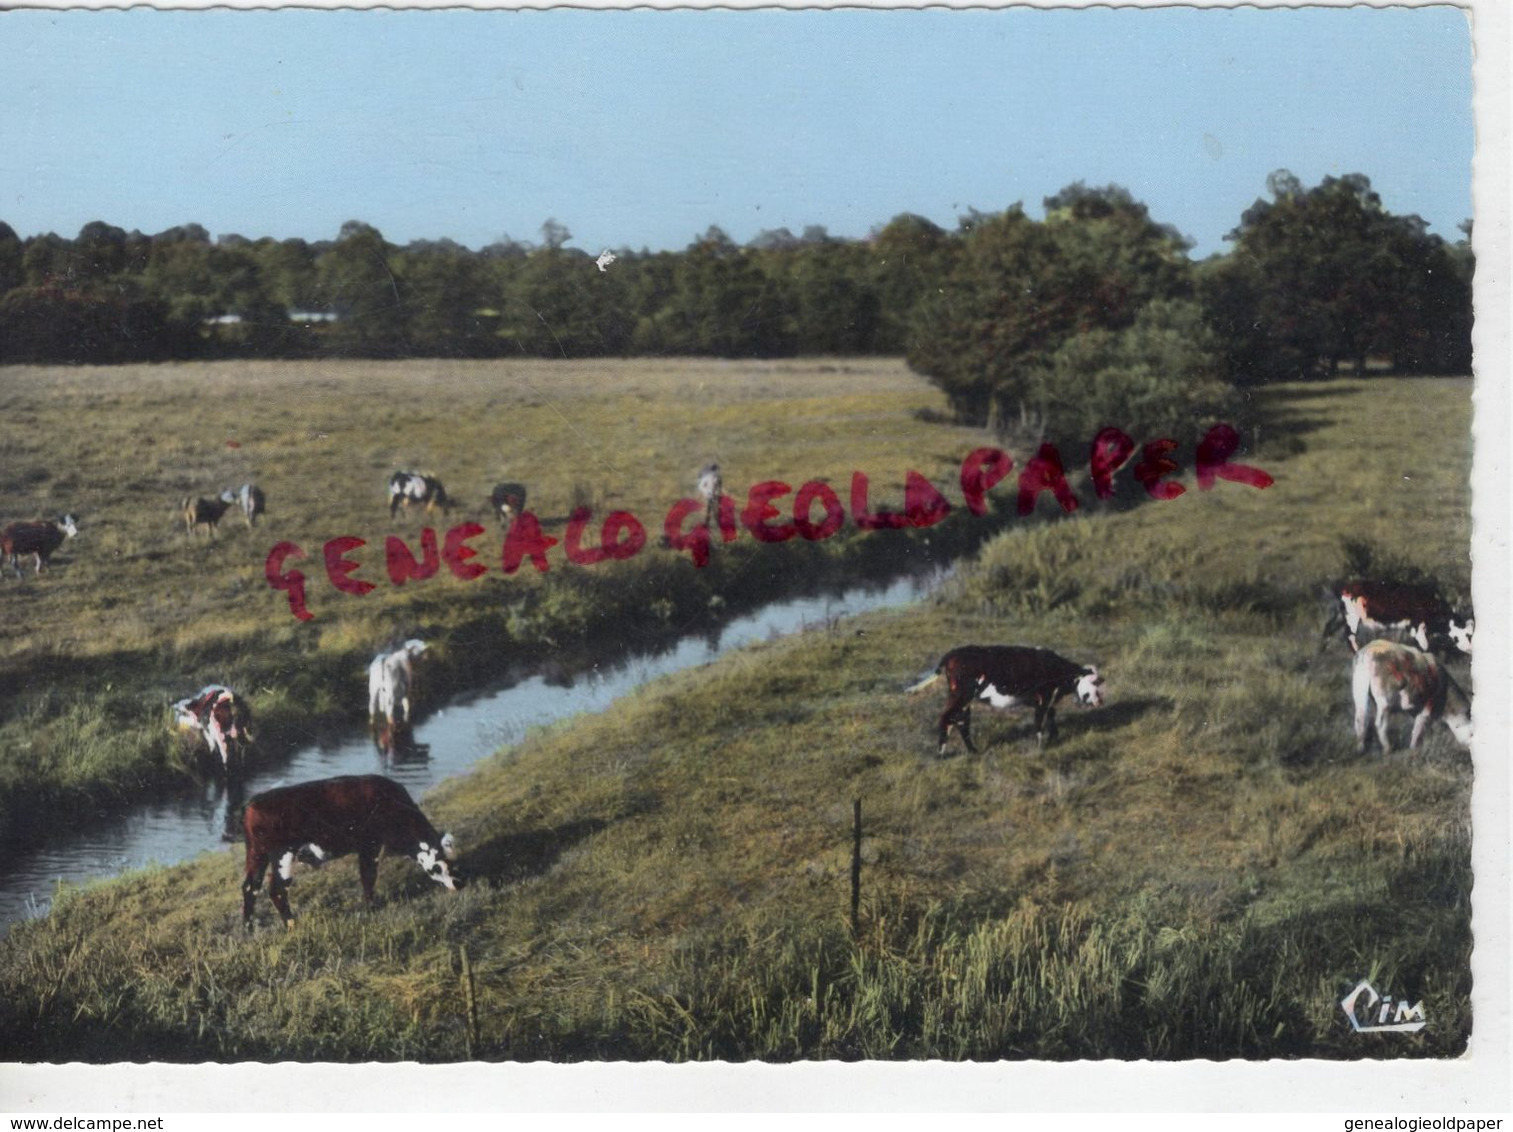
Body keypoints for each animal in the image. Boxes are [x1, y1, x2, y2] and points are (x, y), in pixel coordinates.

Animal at [236, 780, 456, 926]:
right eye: (438, 867)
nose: (458, 883)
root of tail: (253, 803)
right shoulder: (369, 845)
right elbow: (368, 876)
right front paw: (371, 908)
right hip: (282, 854)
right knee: (277, 890)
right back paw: (292, 924)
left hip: (257, 855)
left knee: (250, 887)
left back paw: (248, 927)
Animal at [901, 641, 1107, 756]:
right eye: (1094, 683)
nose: (1100, 701)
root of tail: (953, 653)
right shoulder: (1044, 697)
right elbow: (1039, 722)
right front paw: (1040, 747)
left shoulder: (1048, 699)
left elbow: (1051, 717)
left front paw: (1053, 739)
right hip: (962, 694)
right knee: (947, 718)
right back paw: (941, 754)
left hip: (964, 698)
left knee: (961, 721)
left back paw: (973, 751)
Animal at [1325, 578, 1476, 659]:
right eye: (1457, 637)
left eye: (1470, 635)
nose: (1470, 649)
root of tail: (1346, 587)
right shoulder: (1416, 627)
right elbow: (1425, 647)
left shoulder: (1406, 627)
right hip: (1352, 616)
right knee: (1350, 636)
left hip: (1342, 615)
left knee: (1328, 628)